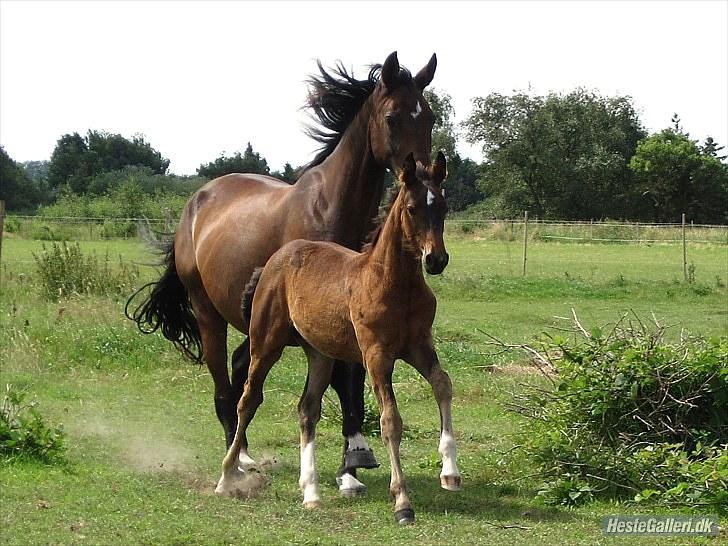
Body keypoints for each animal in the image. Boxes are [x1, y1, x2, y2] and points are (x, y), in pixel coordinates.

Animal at [126, 51, 438, 492]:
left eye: (429, 118)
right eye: (393, 117)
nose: (425, 178)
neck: (330, 209)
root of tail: (195, 203)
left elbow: (354, 377)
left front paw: (352, 460)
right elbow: (341, 377)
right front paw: (352, 462)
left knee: (241, 368)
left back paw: (242, 452)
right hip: (209, 314)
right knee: (224, 384)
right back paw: (236, 461)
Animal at [216, 152, 464, 524]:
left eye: (444, 207)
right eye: (411, 208)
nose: (435, 259)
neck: (393, 283)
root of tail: (274, 260)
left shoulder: (419, 345)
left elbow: (442, 384)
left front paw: (450, 472)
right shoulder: (376, 354)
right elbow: (390, 420)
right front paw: (402, 501)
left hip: (320, 353)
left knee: (307, 409)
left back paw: (311, 492)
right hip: (266, 343)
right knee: (248, 400)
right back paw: (227, 475)